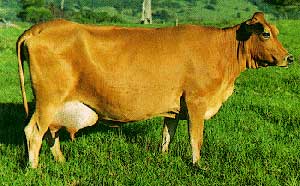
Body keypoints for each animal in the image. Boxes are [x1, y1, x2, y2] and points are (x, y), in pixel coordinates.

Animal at [16, 12, 292, 168]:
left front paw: (163, 158)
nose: (289, 58)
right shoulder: (196, 101)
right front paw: (197, 165)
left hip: (54, 105)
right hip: (49, 100)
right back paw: (34, 169)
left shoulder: (174, 108)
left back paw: (61, 162)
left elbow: (167, 135)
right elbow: (196, 137)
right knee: (34, 131)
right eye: (266, 34)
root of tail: (37, 28)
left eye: (276, 32)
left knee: (50, 132)